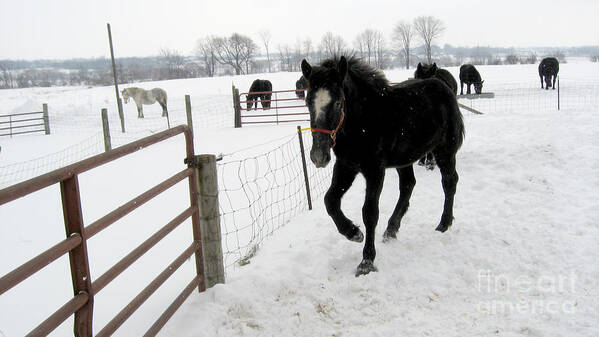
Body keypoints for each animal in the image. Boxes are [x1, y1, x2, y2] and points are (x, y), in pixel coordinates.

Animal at [302, 55, 466, 276]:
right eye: (307, 101)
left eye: (337, 102)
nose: (318, 156)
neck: (363, 120)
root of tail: (443, 87)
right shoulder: (346, 166)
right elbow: (330, 201)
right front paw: (353, 233)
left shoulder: (375, 170)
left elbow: (370, 212)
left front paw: (366, 261)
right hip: (405, 158)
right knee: (408, 185)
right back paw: (391, 229)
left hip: (444, 152)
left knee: (449, 182)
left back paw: (443, 224)